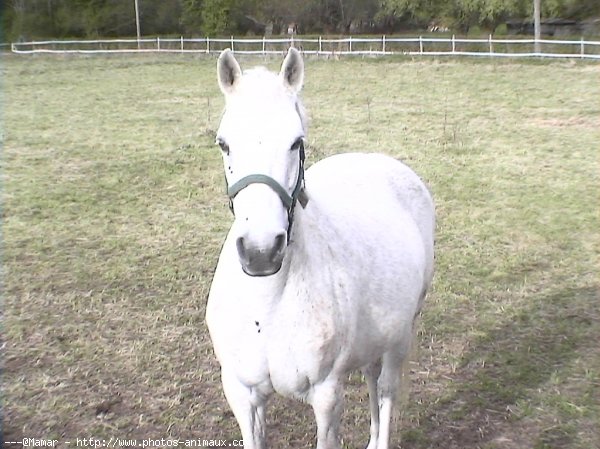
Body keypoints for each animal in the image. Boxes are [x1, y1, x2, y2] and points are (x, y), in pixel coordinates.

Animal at [206, 48, 432, 448]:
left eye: (296, 142)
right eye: (224, 143)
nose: (261, 252)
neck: (268, 307)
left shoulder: (326, 396)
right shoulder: (242, 394)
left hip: (401, 335)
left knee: (386, 388)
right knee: (371, 376)